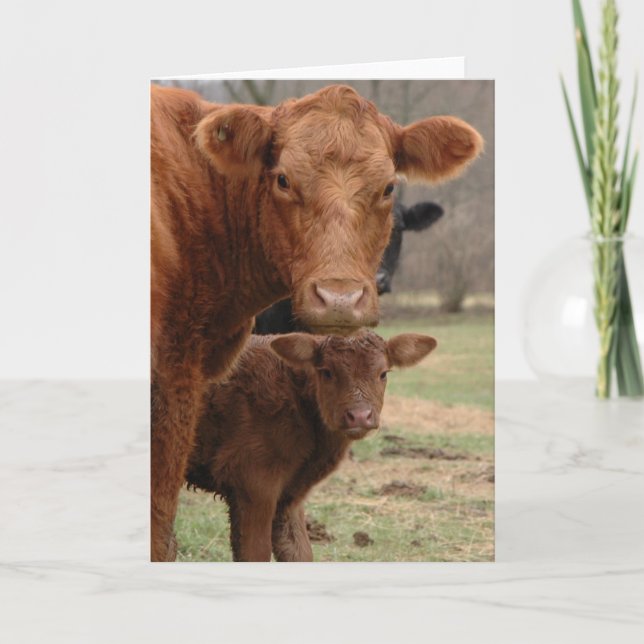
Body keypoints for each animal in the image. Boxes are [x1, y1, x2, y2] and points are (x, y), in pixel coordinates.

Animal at [186, 330, 437, 561]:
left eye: (383, 373)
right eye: (326, 372)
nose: (359, 416)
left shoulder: (289, 495)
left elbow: (300, 552)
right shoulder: (252, 483)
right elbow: (255, 553)